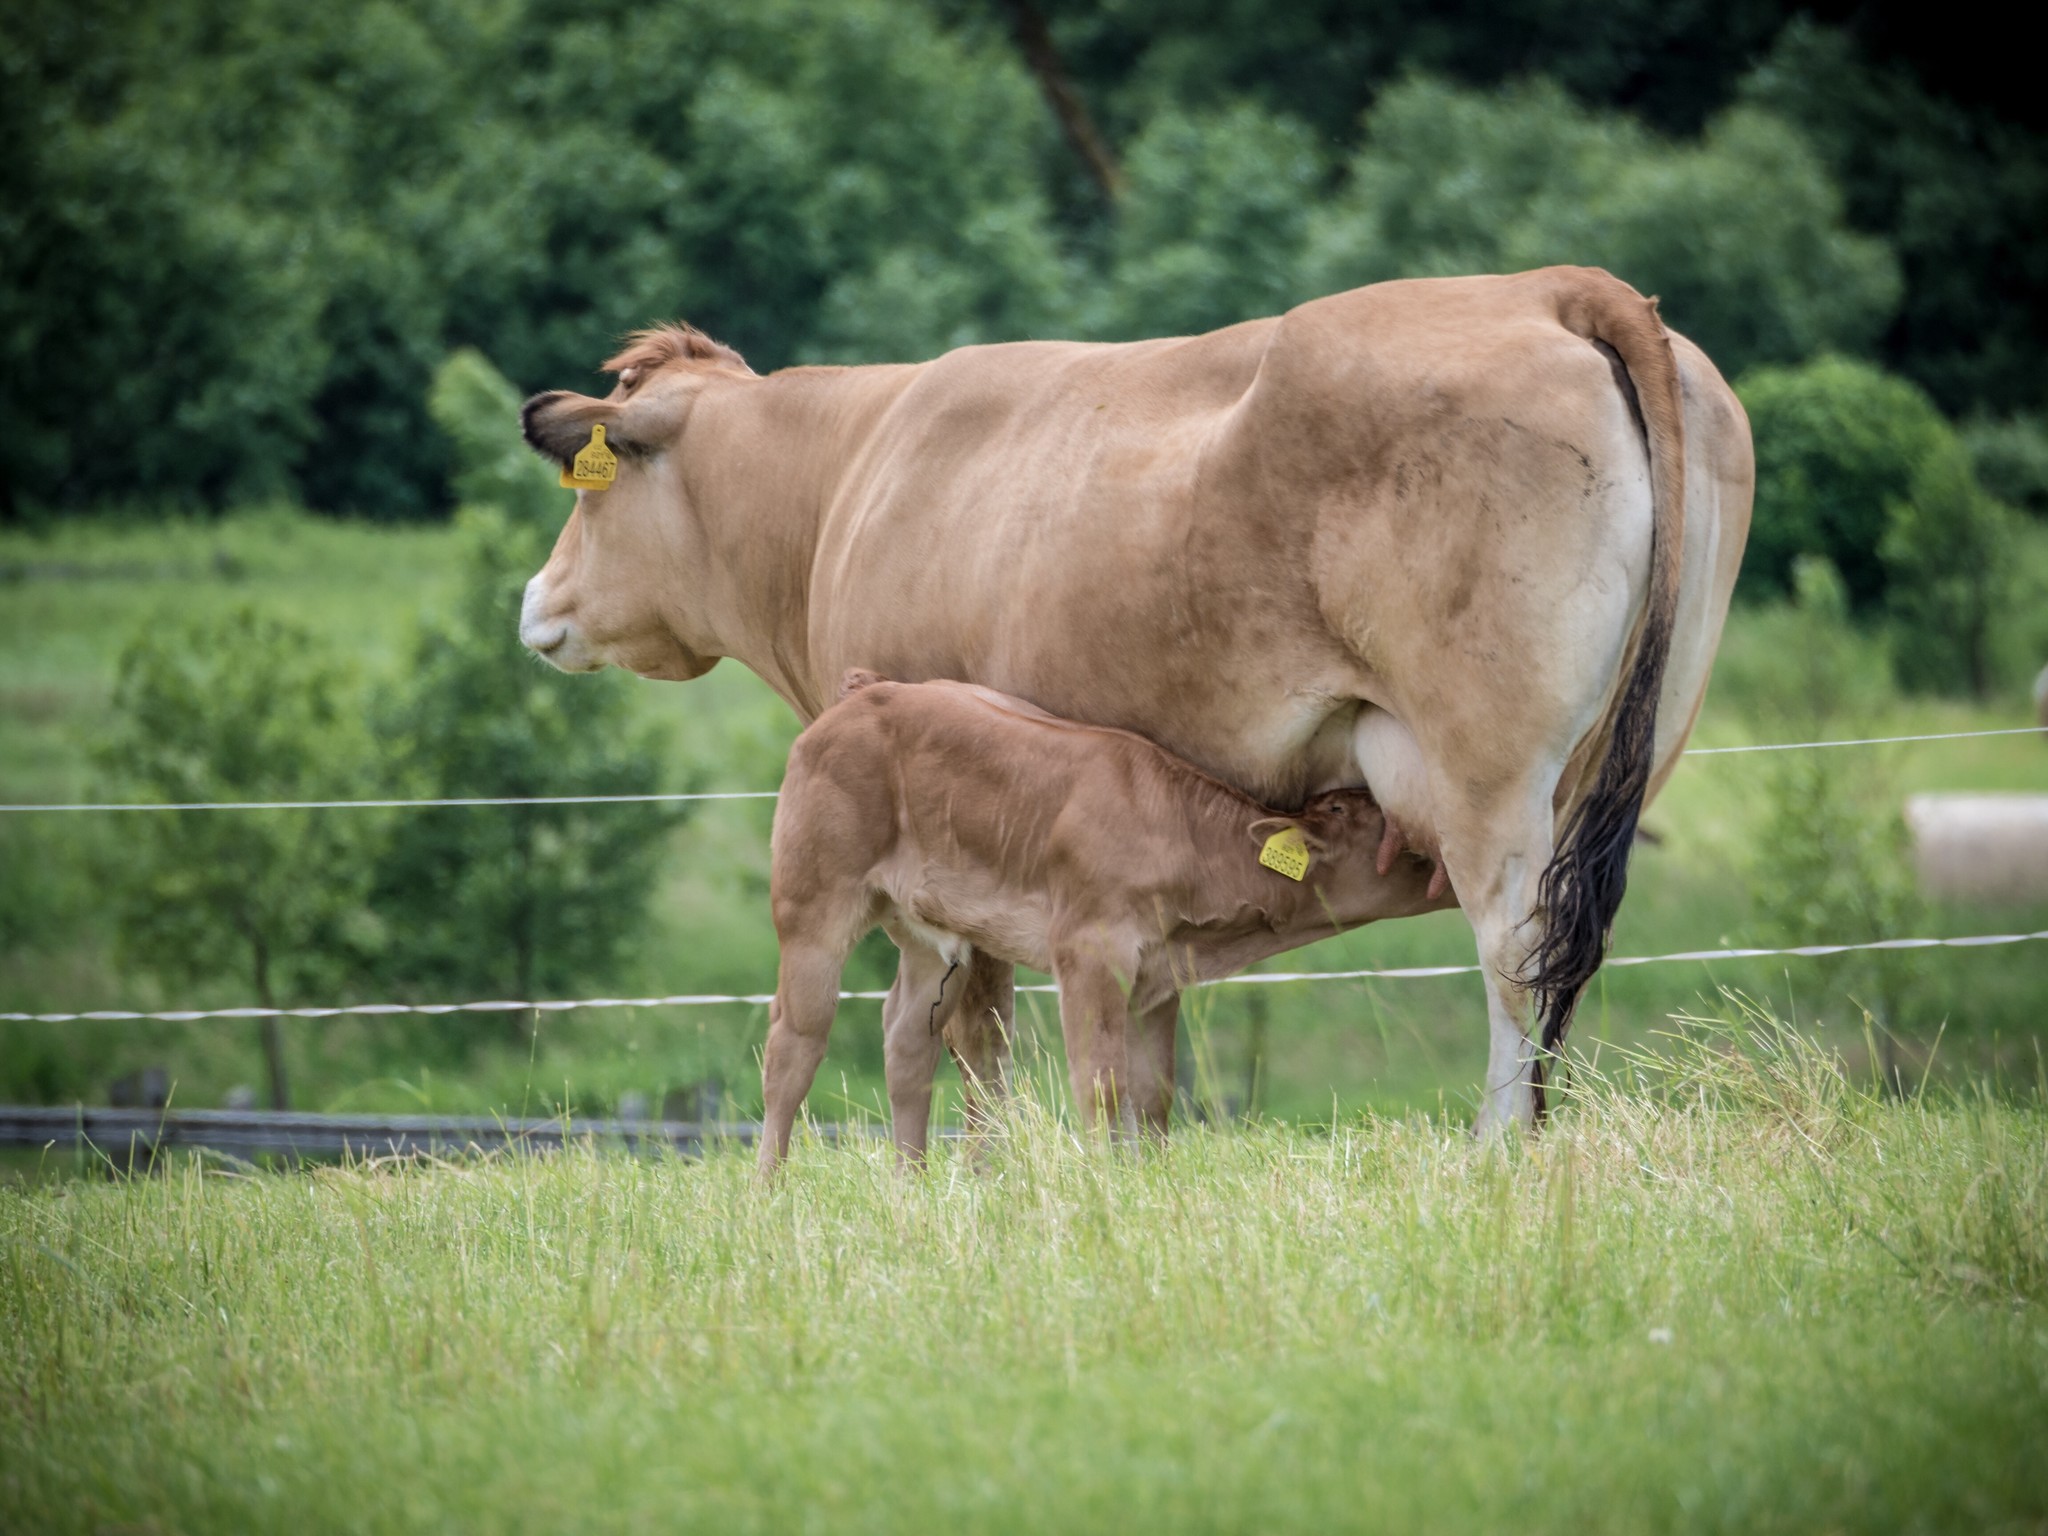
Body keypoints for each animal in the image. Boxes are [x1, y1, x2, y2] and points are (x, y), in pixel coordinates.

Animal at [761, 671, 1449, 1179]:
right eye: (1400, 840)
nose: (1447, 868)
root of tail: (869, 689)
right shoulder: (1089, 952)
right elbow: (1102, 1085)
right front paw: (1103, 1191)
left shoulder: (1158, 974)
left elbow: (1152, 1095)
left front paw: (1146, 1183)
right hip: (812, 900)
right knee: (793, 1044)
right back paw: (770, 1191)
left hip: (930, 935)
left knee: (908, 1039)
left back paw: (911, 1187)